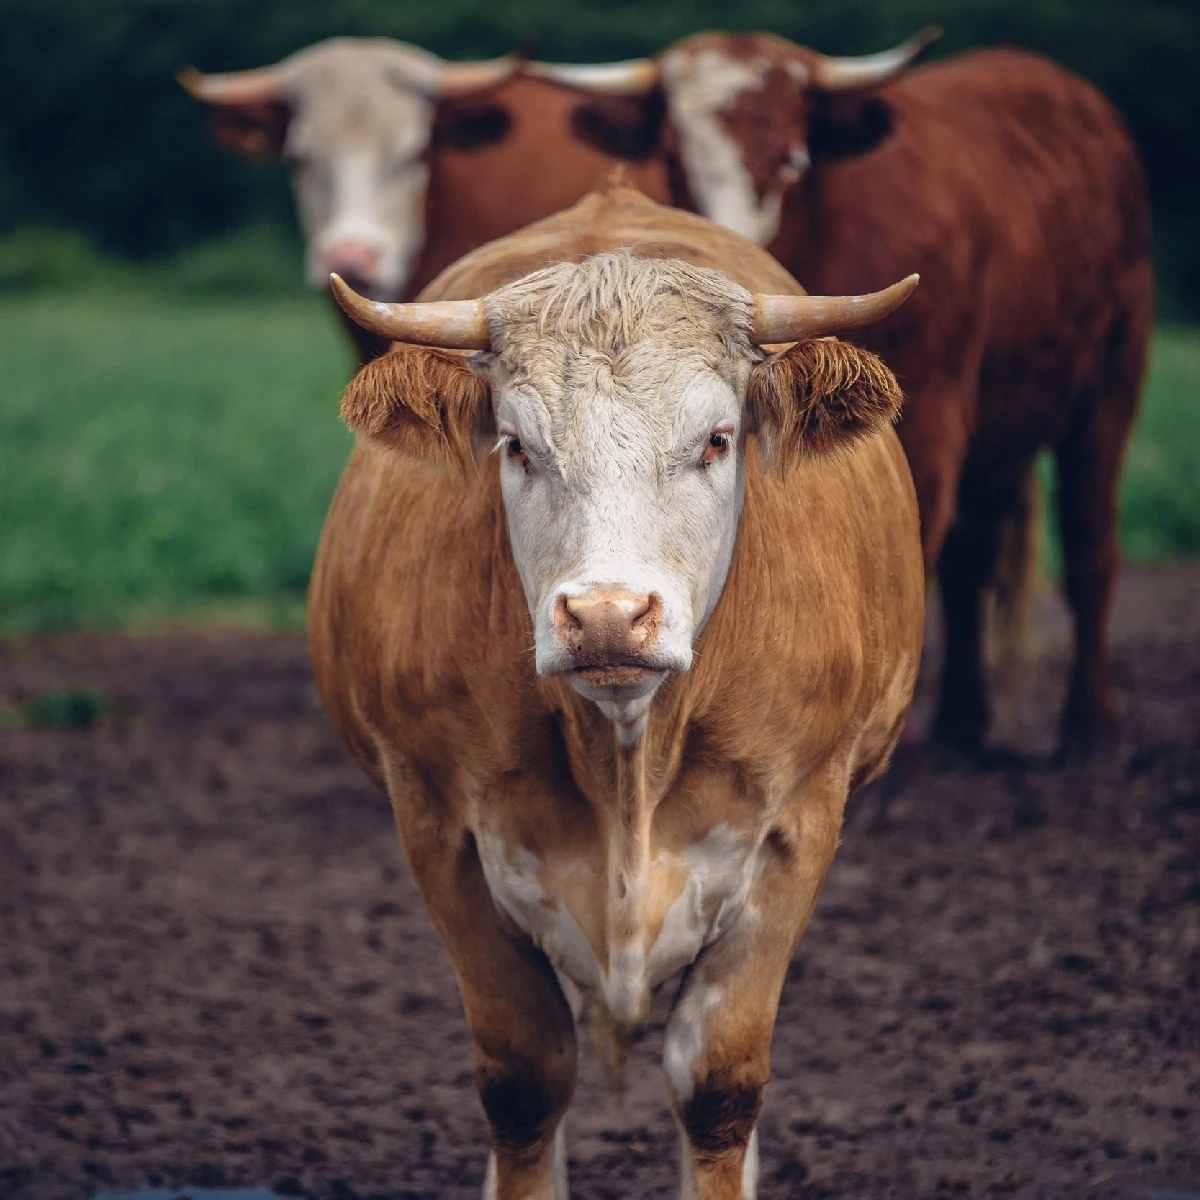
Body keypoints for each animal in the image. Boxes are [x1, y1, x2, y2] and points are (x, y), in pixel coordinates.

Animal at [307, 182, 916, 1195]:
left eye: (717, 439)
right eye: (516, 444)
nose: (604, 616)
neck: (626, 756)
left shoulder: (800, 823)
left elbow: (719, 1084)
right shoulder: (435, 825)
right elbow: (524, 1080)